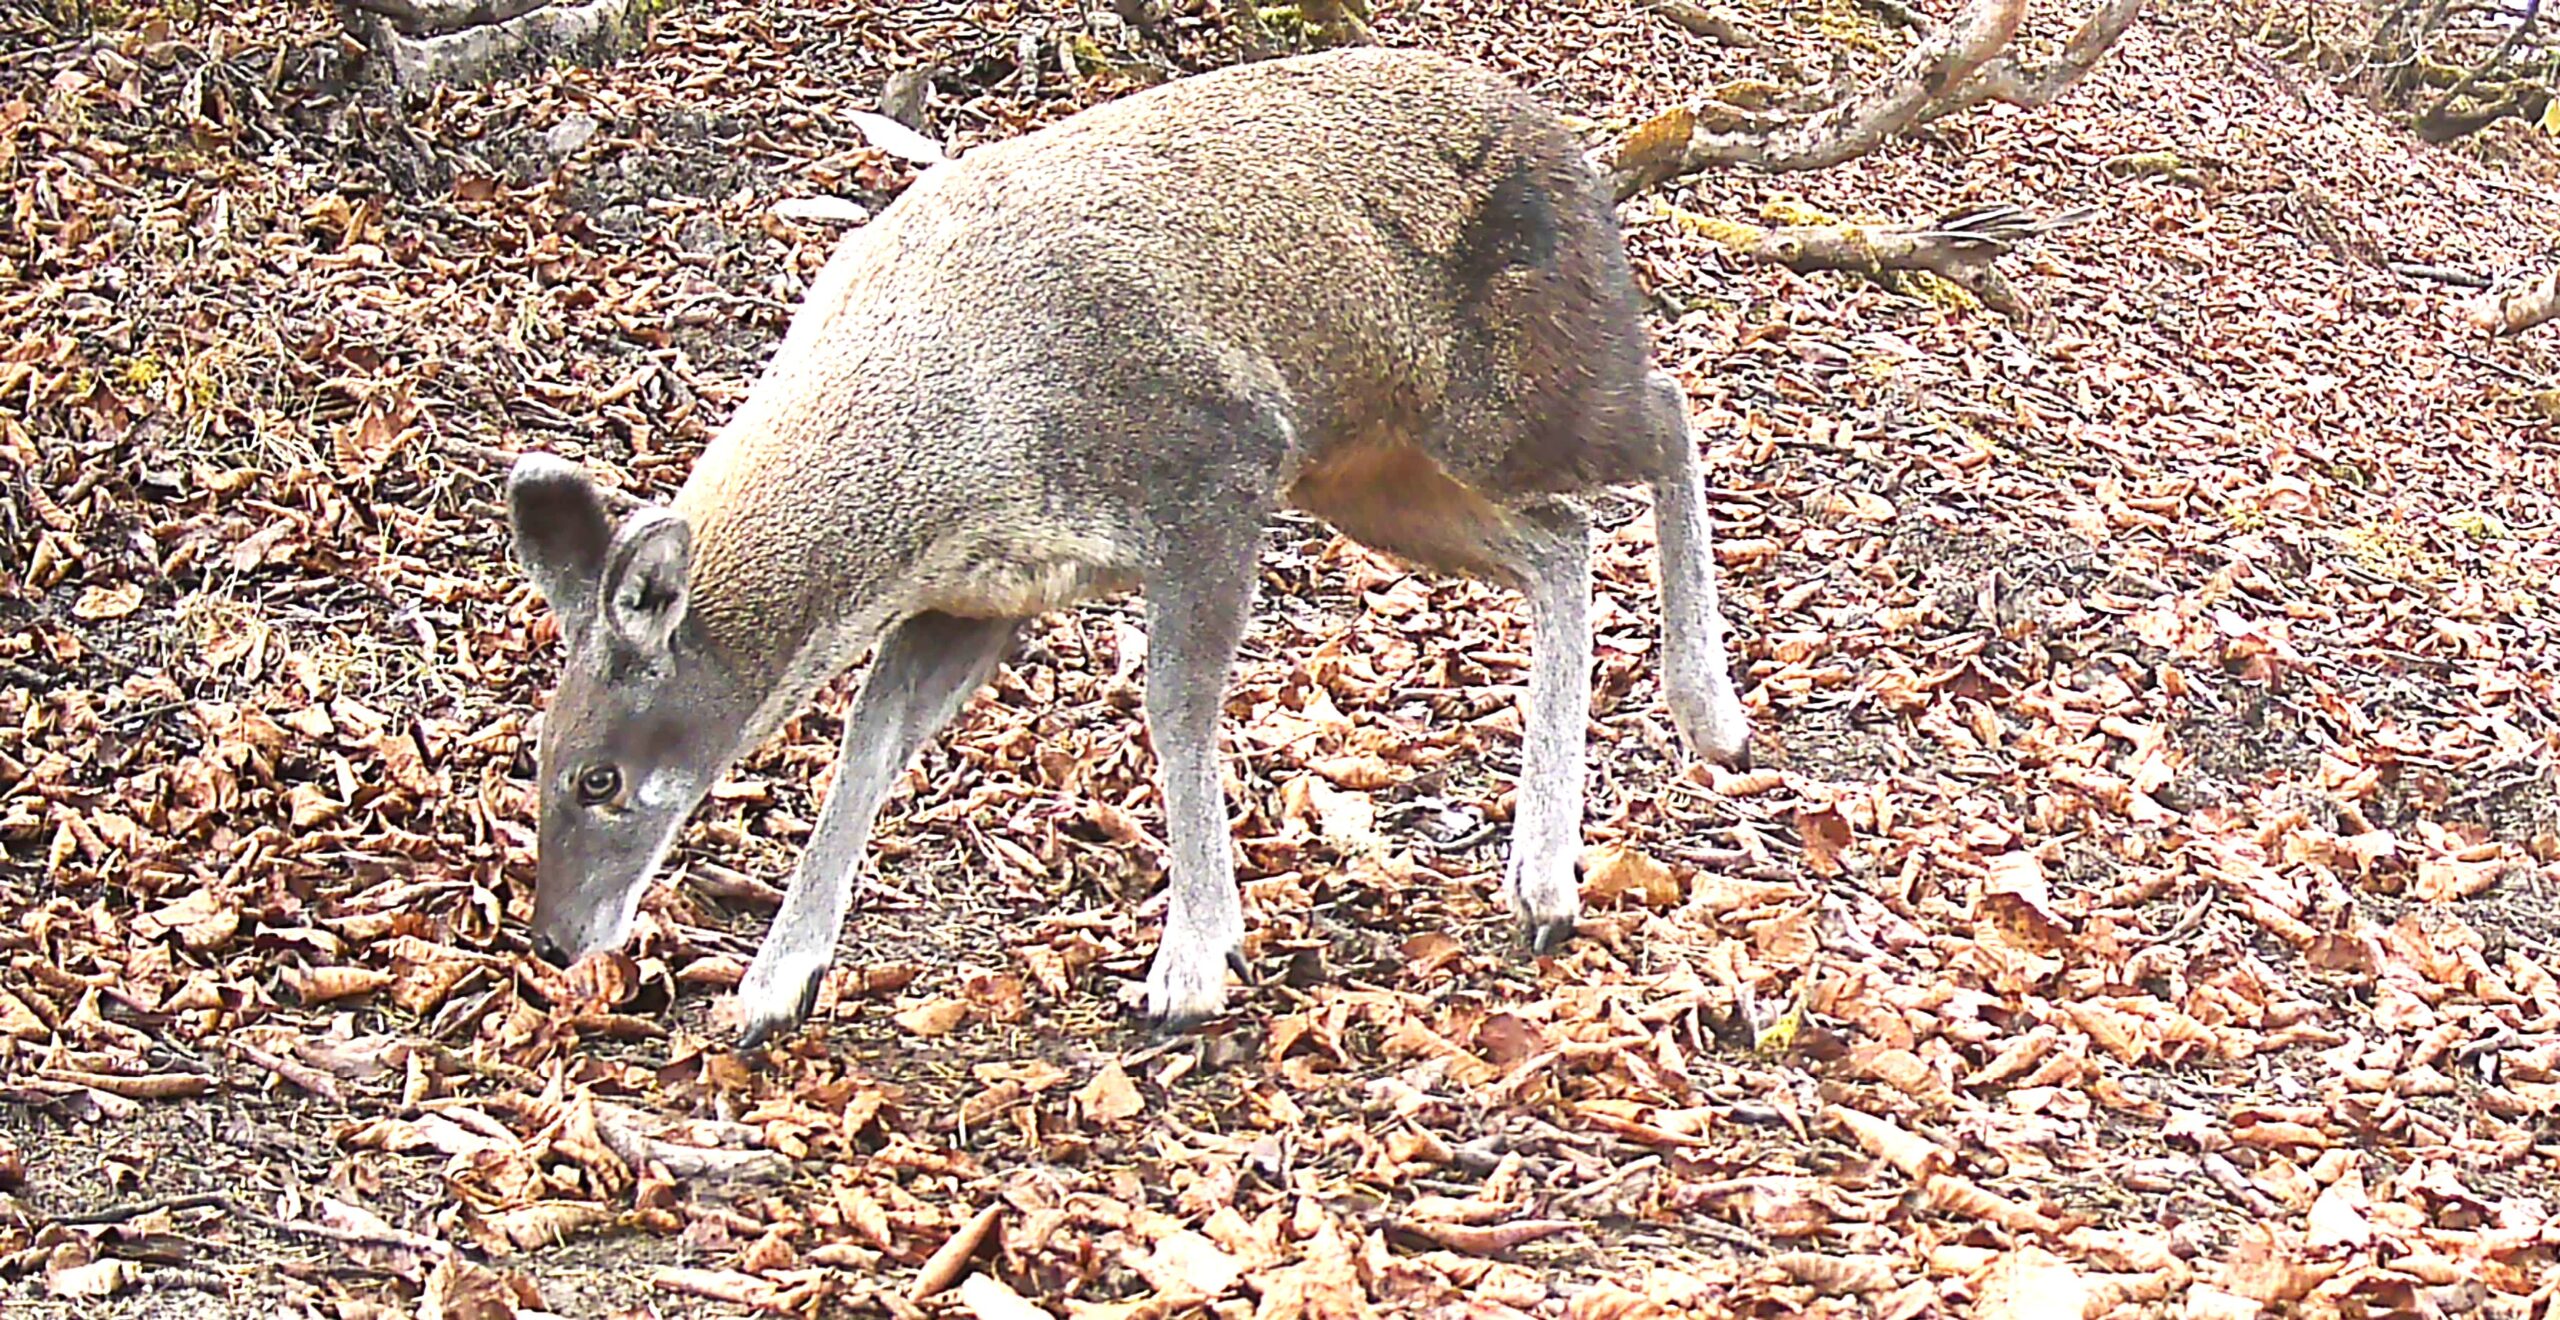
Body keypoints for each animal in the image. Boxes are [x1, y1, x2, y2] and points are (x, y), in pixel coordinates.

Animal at [505, 44, 1754, 1048]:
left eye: (597, 777)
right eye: (536, 756)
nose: (557, 939)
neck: (954, 443)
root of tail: (1578, 157)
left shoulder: (1216, 475)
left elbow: (1175, 709)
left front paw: (1192, 966)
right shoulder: (980, 593)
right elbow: (870, 740)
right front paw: (775, 985)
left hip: (1503, 398)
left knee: (1665, 410)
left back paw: (1707, 715)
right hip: (1371, 471)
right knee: (1561, 539)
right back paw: (1542, 878)